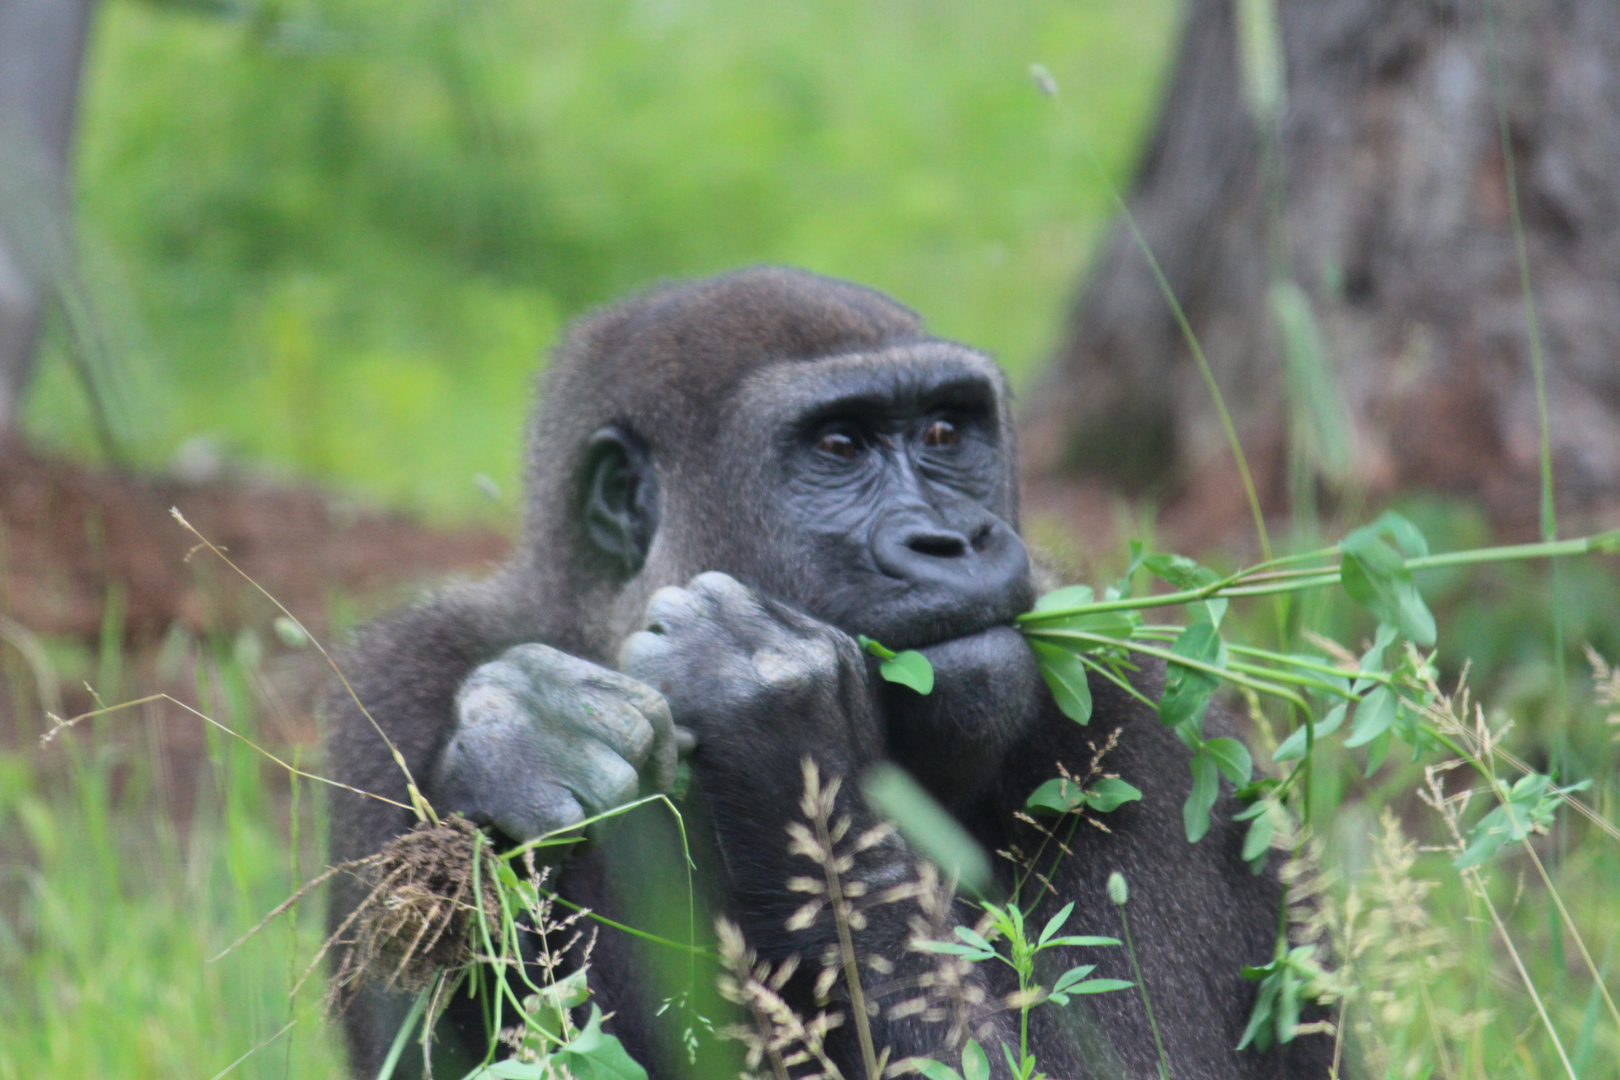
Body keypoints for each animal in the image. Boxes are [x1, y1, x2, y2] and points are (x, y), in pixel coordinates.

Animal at [319, 263, 1328, 1080]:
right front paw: (524, 747)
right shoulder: (398, 689)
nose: (953, 540)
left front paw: (774, 717)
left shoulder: (1152, 726)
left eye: (945, 432)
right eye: (838, 448)